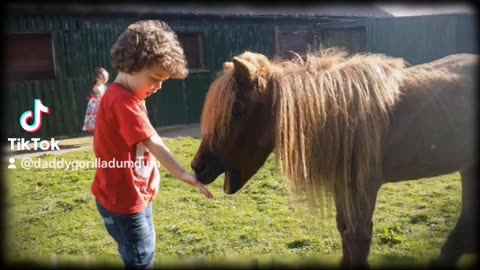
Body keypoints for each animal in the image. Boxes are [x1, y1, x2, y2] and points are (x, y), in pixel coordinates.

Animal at [191, 48, 476, 266]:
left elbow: (357, 239)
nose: (197, 167)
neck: (342, 117)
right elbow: (345, 234)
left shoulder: (362, 188)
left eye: (237, 110)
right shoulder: (343, 186)